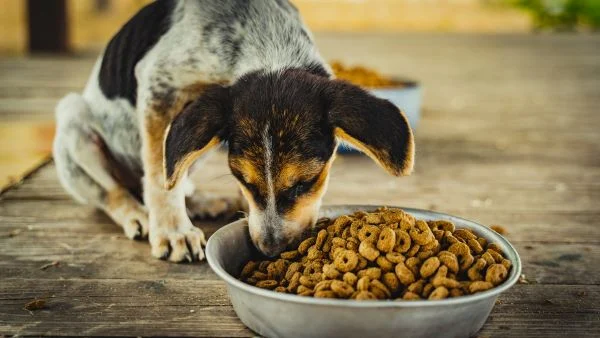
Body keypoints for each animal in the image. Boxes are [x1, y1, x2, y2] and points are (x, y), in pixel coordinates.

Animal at [54, 0, 414, 262]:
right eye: (244, 181)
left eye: (306, 183)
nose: (269, 251)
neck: (265, 39)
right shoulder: (159, 84)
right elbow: (158, 174)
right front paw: (172, 231)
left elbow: (169, 169)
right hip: (74, 120)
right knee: (112, 192)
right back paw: (138, 214)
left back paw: (201, 202)